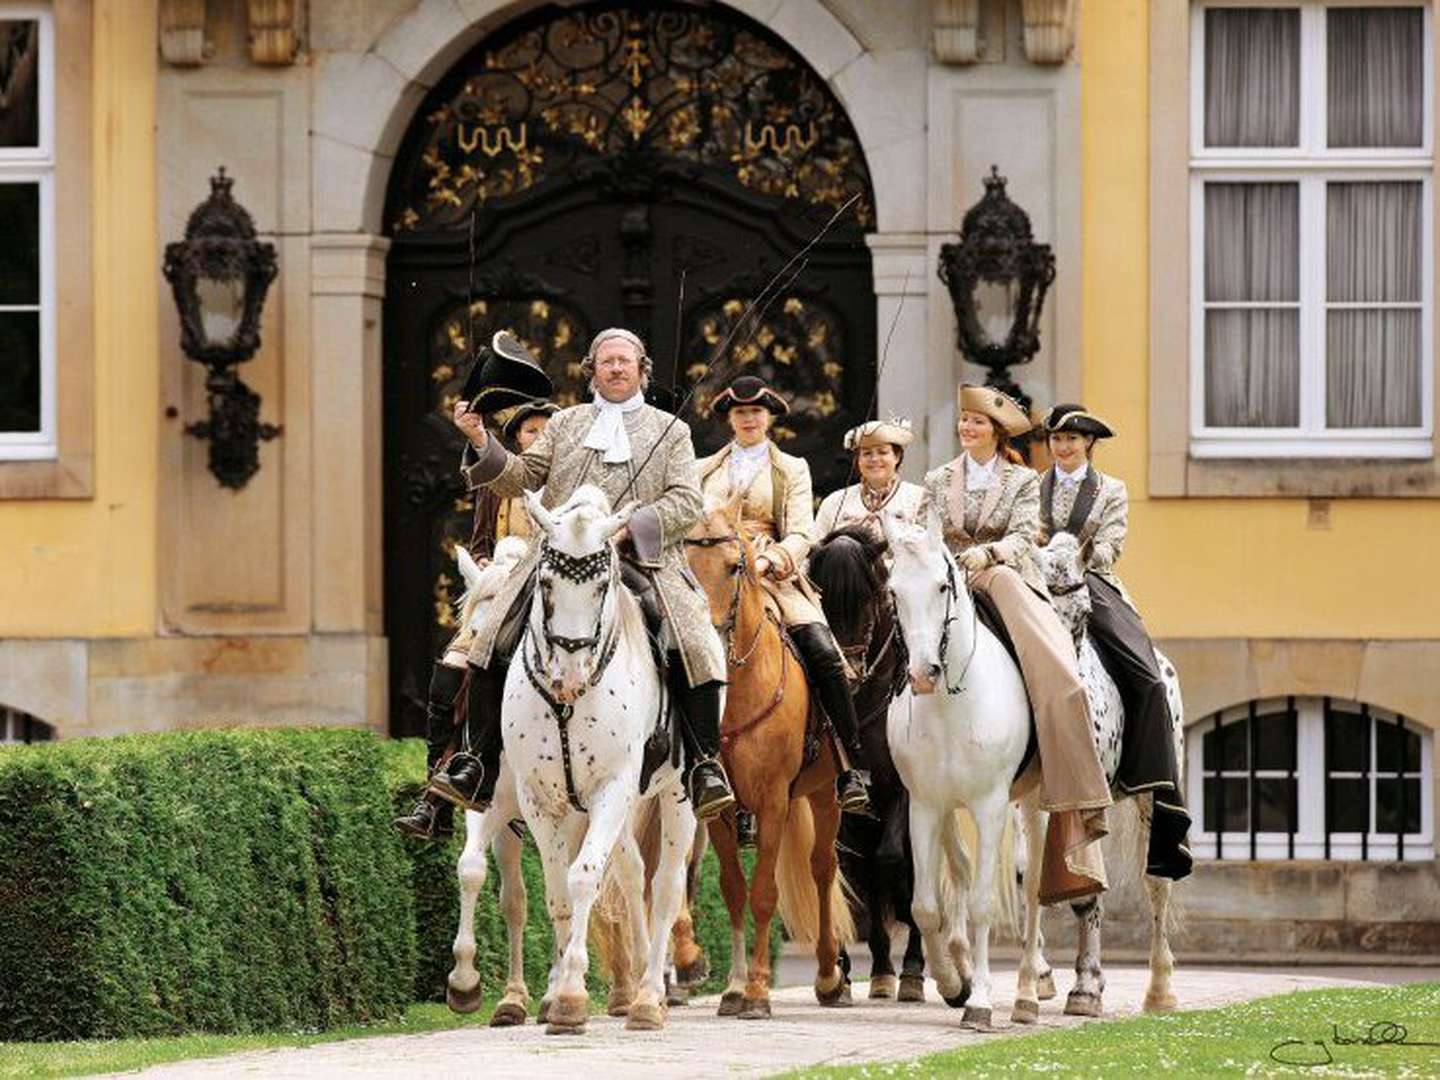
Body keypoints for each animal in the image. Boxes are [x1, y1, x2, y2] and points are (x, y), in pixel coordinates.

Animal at [501, 489, 696, 1031]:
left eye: (603, 584)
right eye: (545, 582)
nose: (569, 675)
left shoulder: (612, 787)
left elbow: (584, 876)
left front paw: (570, 993)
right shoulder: (540, 799)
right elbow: (557, 892)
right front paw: (558, 994)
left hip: (678, 795)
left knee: (665, 886)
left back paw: (650, 996)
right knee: (631, 873)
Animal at [685, 498, 852, 1025]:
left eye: (735, 567)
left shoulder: (775, 801)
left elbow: (763, 894)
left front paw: (758, 992)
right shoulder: (719, 810)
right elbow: (735, 891)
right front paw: (735, 988)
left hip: (824, 794)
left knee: (822, 869)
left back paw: (829, 977)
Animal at [806, 529, 927, 1008]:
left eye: (871, 596)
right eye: (820, 597)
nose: (848, 670)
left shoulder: (905, 796)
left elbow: (894, 864)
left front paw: (911, 969)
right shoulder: (839, 808)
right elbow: (839, 874)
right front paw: (838, 971)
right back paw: (877, 968)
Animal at [881, 515, 1042, 1031]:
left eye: (941, 585)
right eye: (893, 590)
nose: (922, 673)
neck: (953, 705)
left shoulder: (991, 807)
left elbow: (982, 904)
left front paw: (981, 1002)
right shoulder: (924, 807)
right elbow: (924, 906)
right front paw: (954, 982)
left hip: (1037, 801)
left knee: (1034, 886)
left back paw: (1031, 993)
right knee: (964, 869)